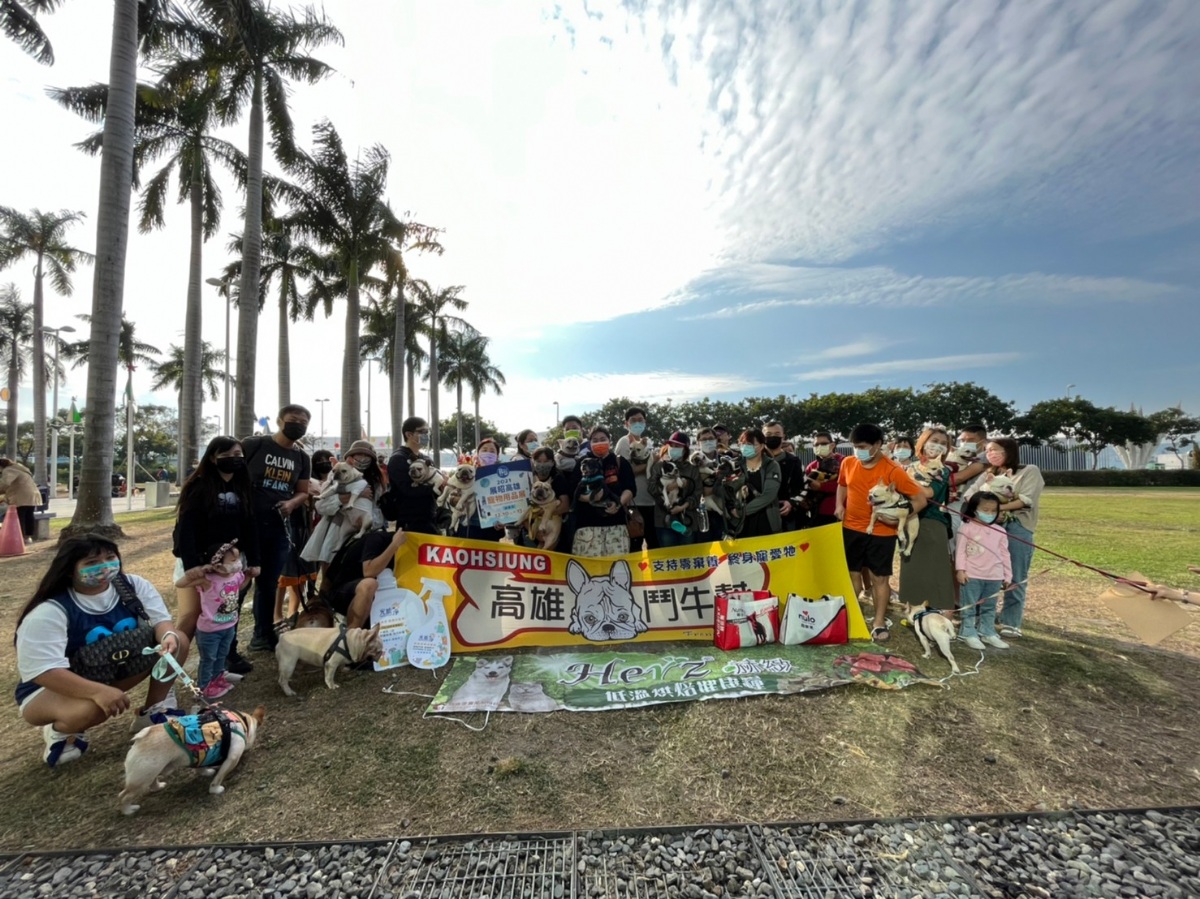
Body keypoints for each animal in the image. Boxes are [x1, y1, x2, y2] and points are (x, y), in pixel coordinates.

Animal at [118, 706, 266, 815]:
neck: (240, 721)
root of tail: (140, 739)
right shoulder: (232, 758)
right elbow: (219, 777)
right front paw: (215, 789)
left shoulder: (203, 753)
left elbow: (201, 767)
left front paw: (205, 772)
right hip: (142, 778)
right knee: (123, 796)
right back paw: (128, 810)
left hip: (153, 770)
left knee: (152, 780)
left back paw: (158, 787)